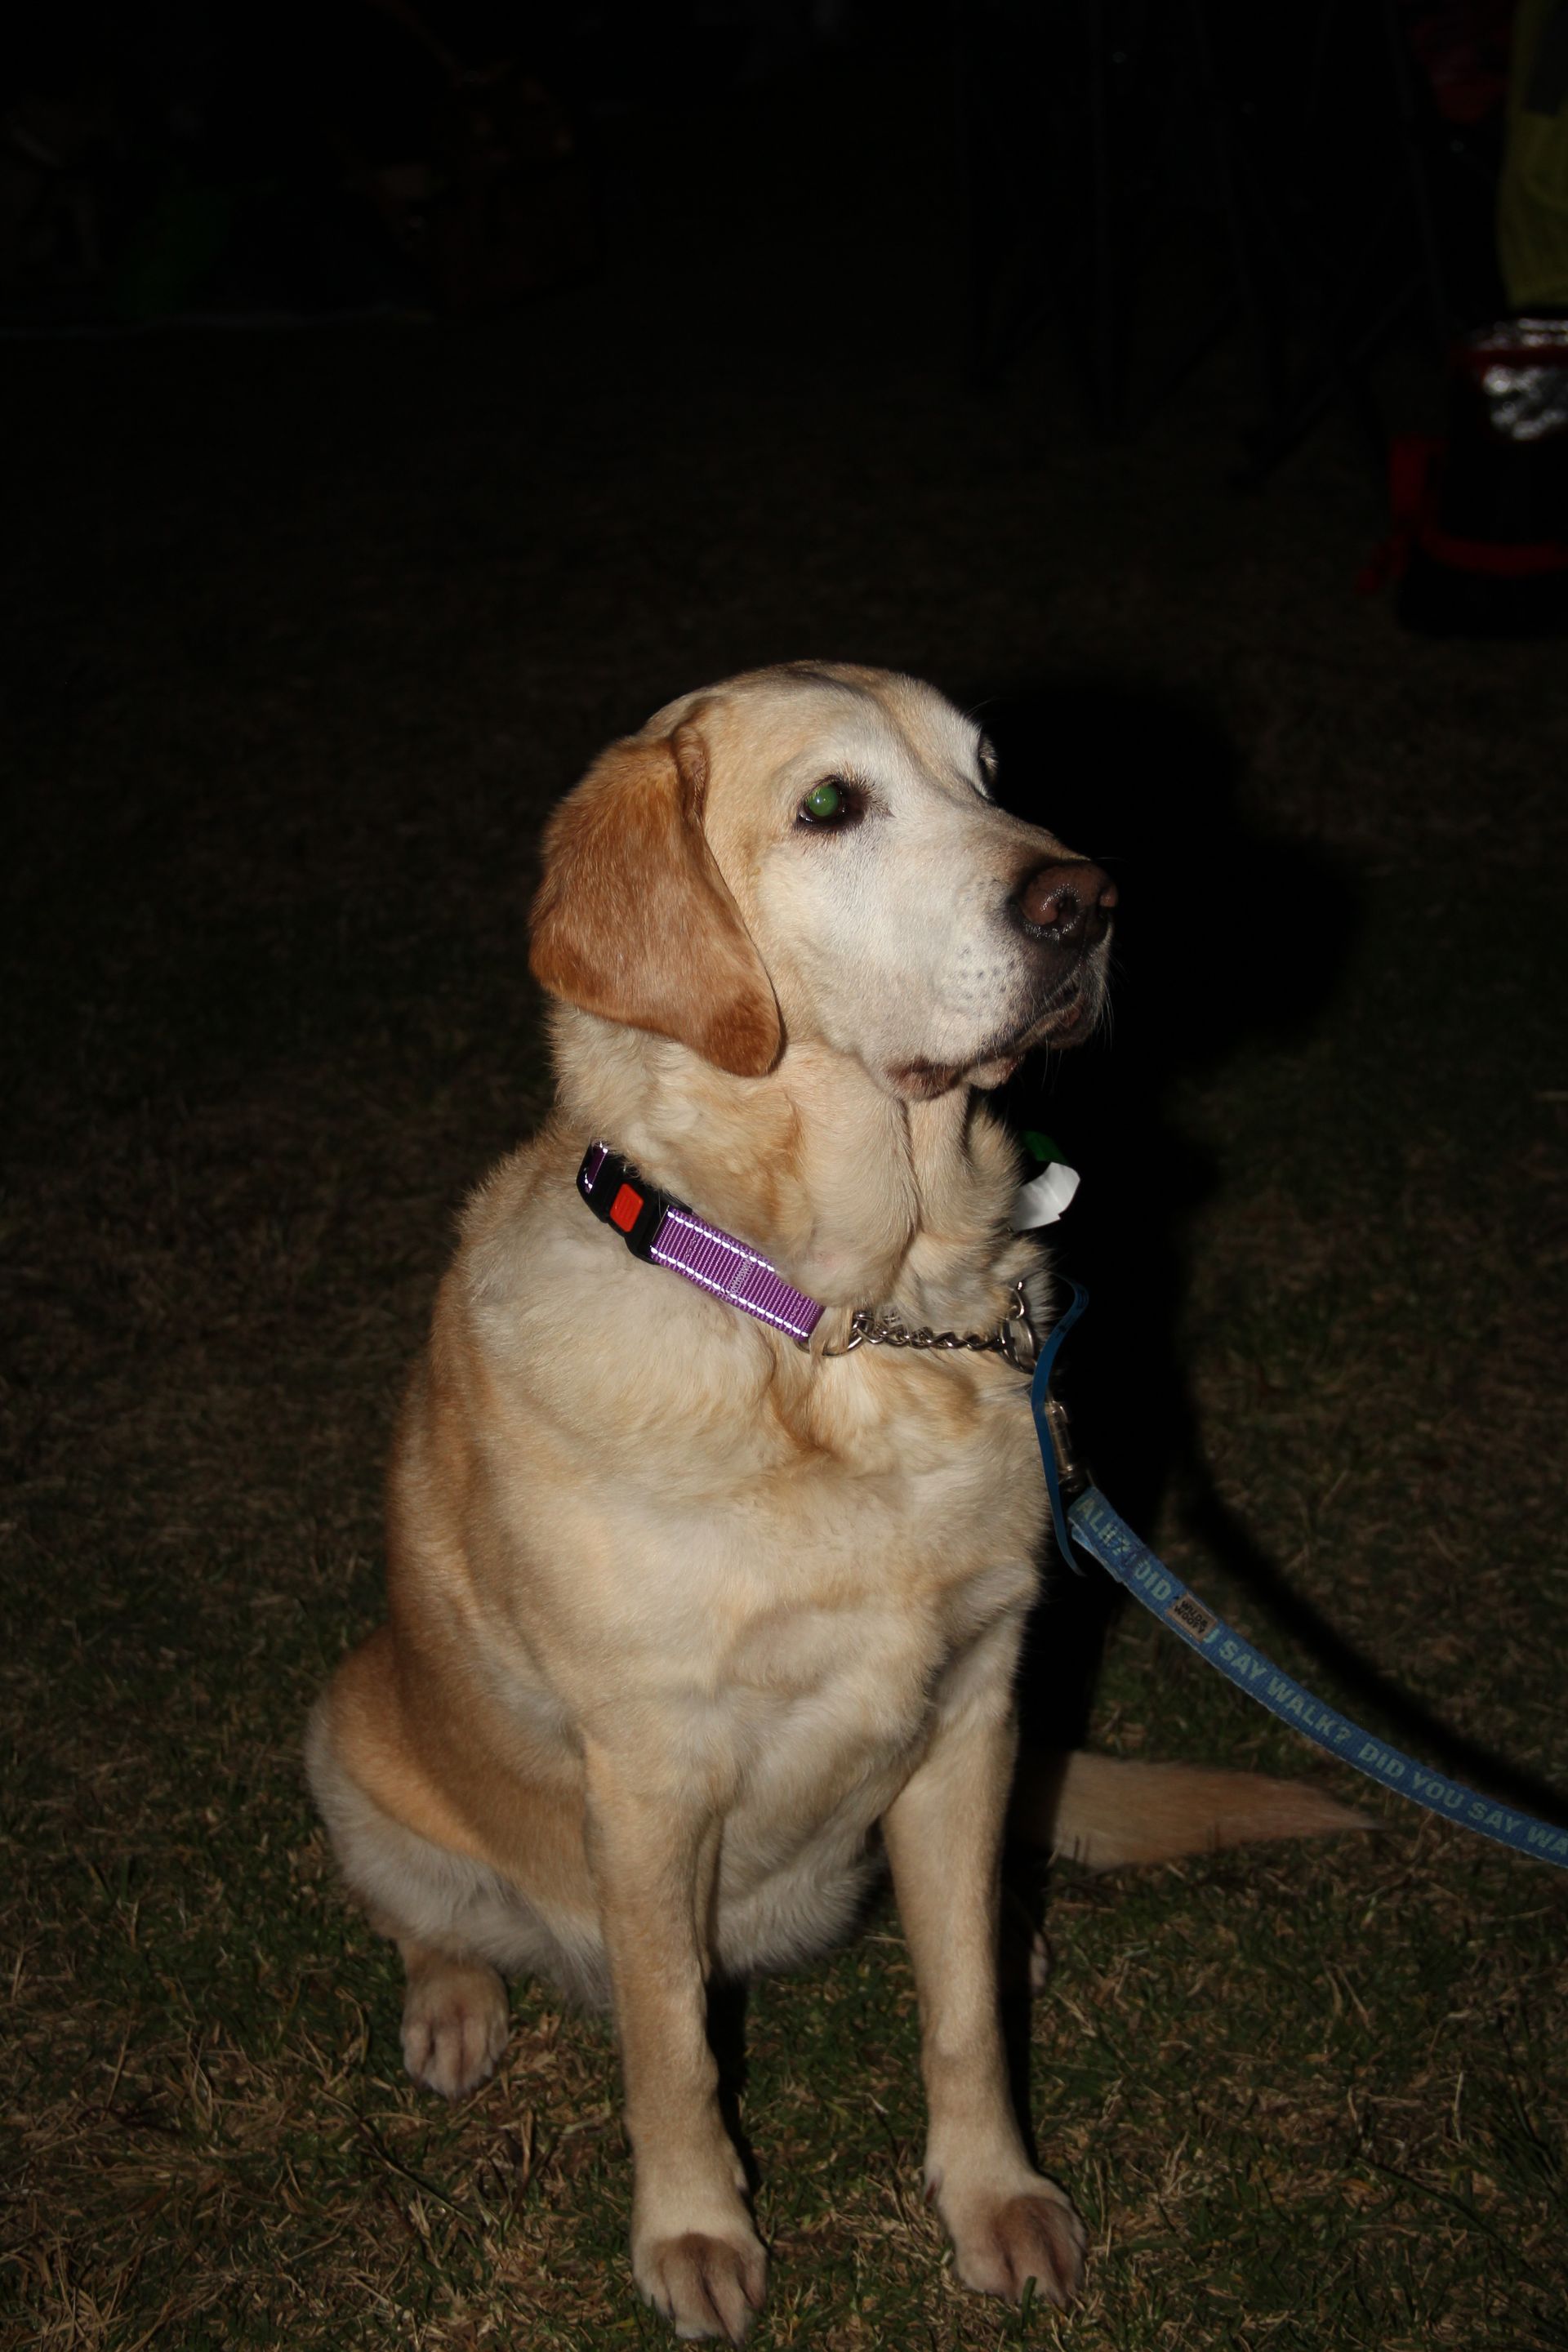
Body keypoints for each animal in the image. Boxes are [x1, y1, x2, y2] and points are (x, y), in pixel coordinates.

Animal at [306, 662, 1353, 2339]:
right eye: (829, 806)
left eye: (993, 771)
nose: (1089, 901)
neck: (848, 1328)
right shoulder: (651, 1777)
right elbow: (672, 2047)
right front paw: (694, 2233)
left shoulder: (976, 1708)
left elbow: (964, 2018)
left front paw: (996, 2198)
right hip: (345, 1740)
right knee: (437, 1920)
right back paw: (458, 2005)